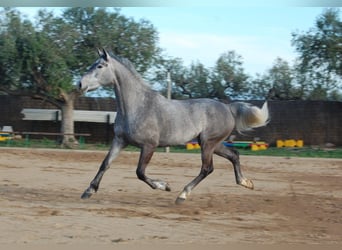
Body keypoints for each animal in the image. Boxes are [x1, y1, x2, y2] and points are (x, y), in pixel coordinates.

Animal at [79, 48, 268, 203]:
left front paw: (164, 186)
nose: (80, 84)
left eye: (100, 66)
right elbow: (105, 164)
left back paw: (182, 195)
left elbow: (140, 172)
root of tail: (228, 108)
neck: (137, 106)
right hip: (214, 143)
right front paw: (88, 191)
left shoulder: (149, 146)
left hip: (208, 143)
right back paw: (246, 183)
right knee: (234, 155)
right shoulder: (120, 140)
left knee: (207, 168)